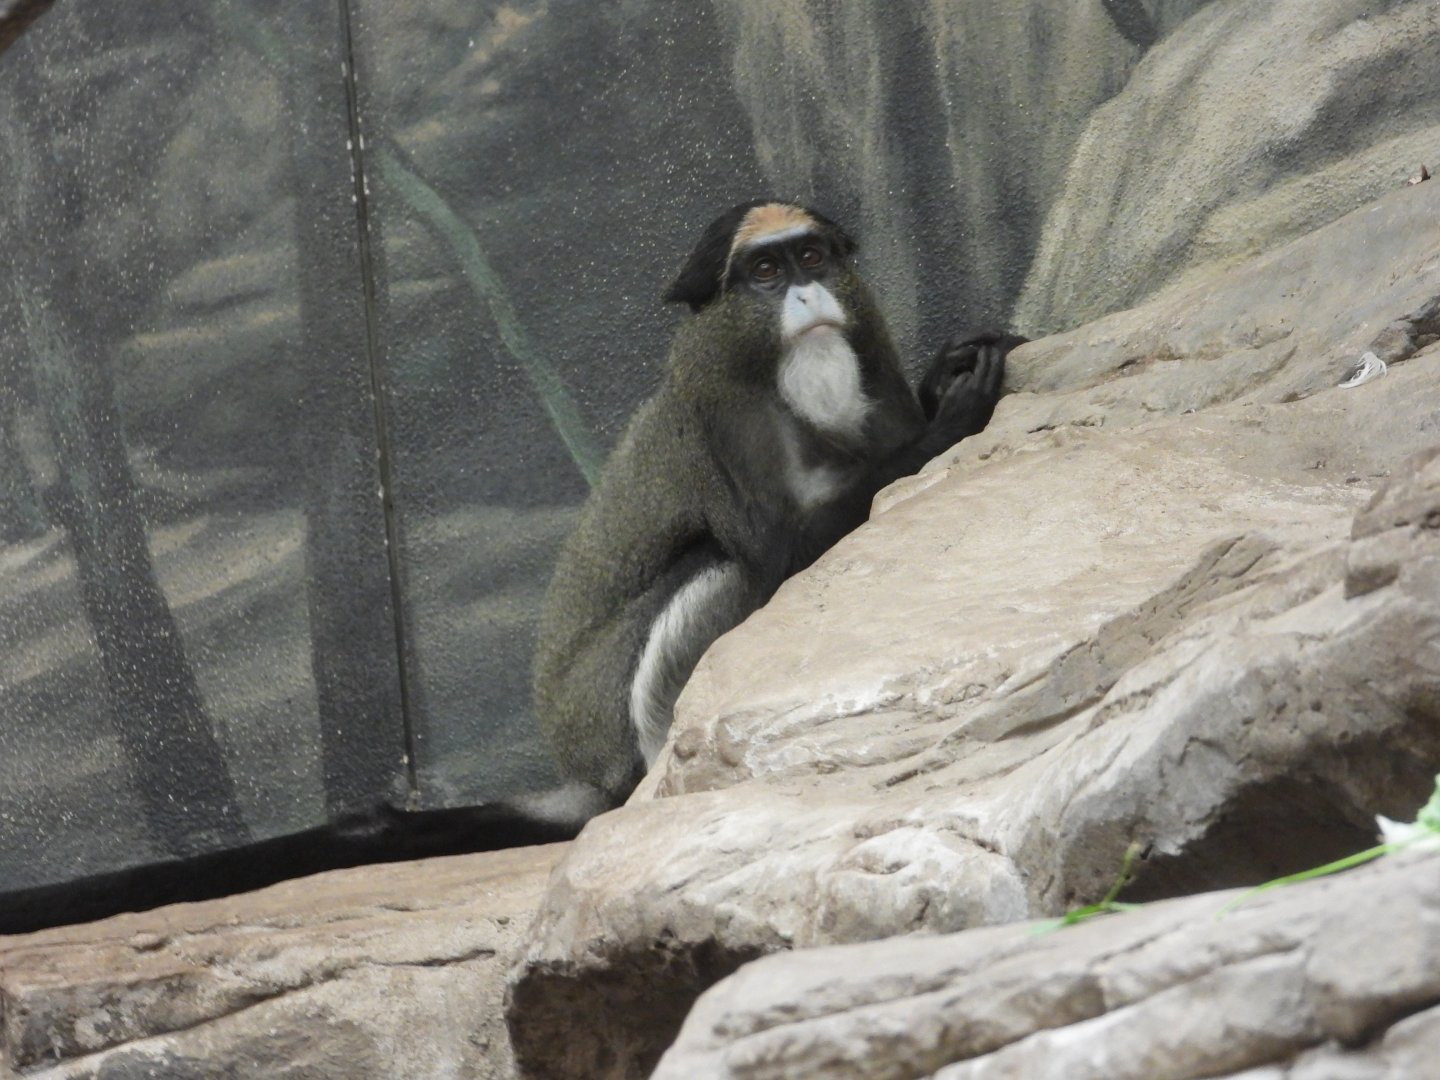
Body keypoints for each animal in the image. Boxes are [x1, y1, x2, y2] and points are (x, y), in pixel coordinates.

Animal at [532, 200, 1025, 808]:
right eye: (765, 270)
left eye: (811, 257)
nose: (808, 294)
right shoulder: (724, 410)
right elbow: (782, 554)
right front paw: (952, 419)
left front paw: (943, 376)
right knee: (716, 565)